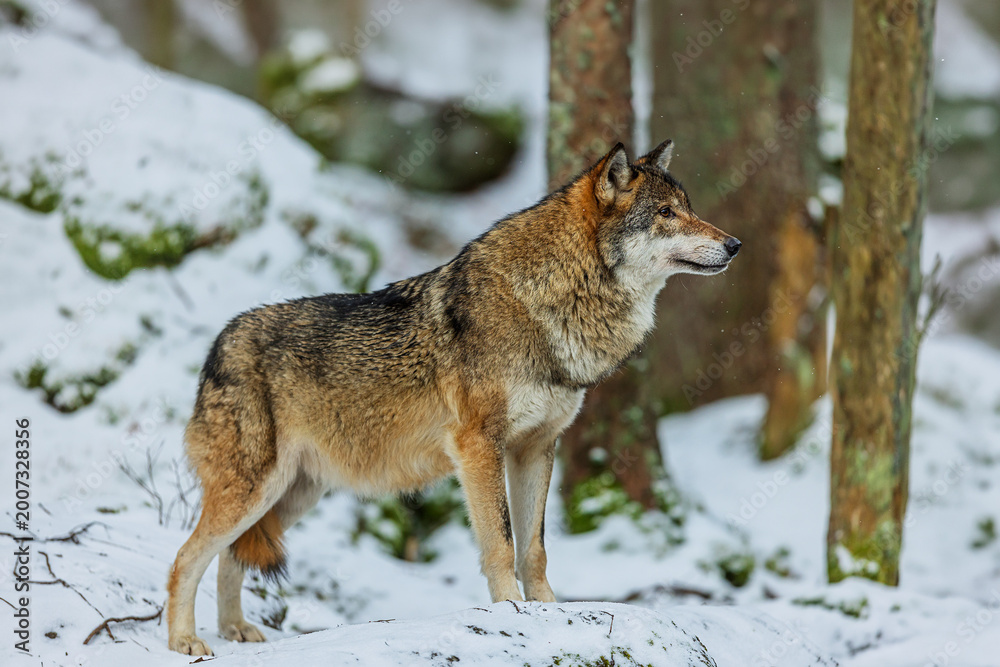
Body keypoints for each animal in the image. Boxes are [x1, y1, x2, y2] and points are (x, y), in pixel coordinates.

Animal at [166, 140, 741, 655]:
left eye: (688, 207)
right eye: (665, 213)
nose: (735, 243)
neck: (549, 301)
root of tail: (219, 343)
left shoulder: (536, 447)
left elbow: (535, 549)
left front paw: (551, 612)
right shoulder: (479, 446)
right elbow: (501, 544)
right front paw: (511, 611)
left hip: (293, 496)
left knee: (229, 557)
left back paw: (235, 631)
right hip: (255, 491)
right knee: (184, 558)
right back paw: (186, 642)